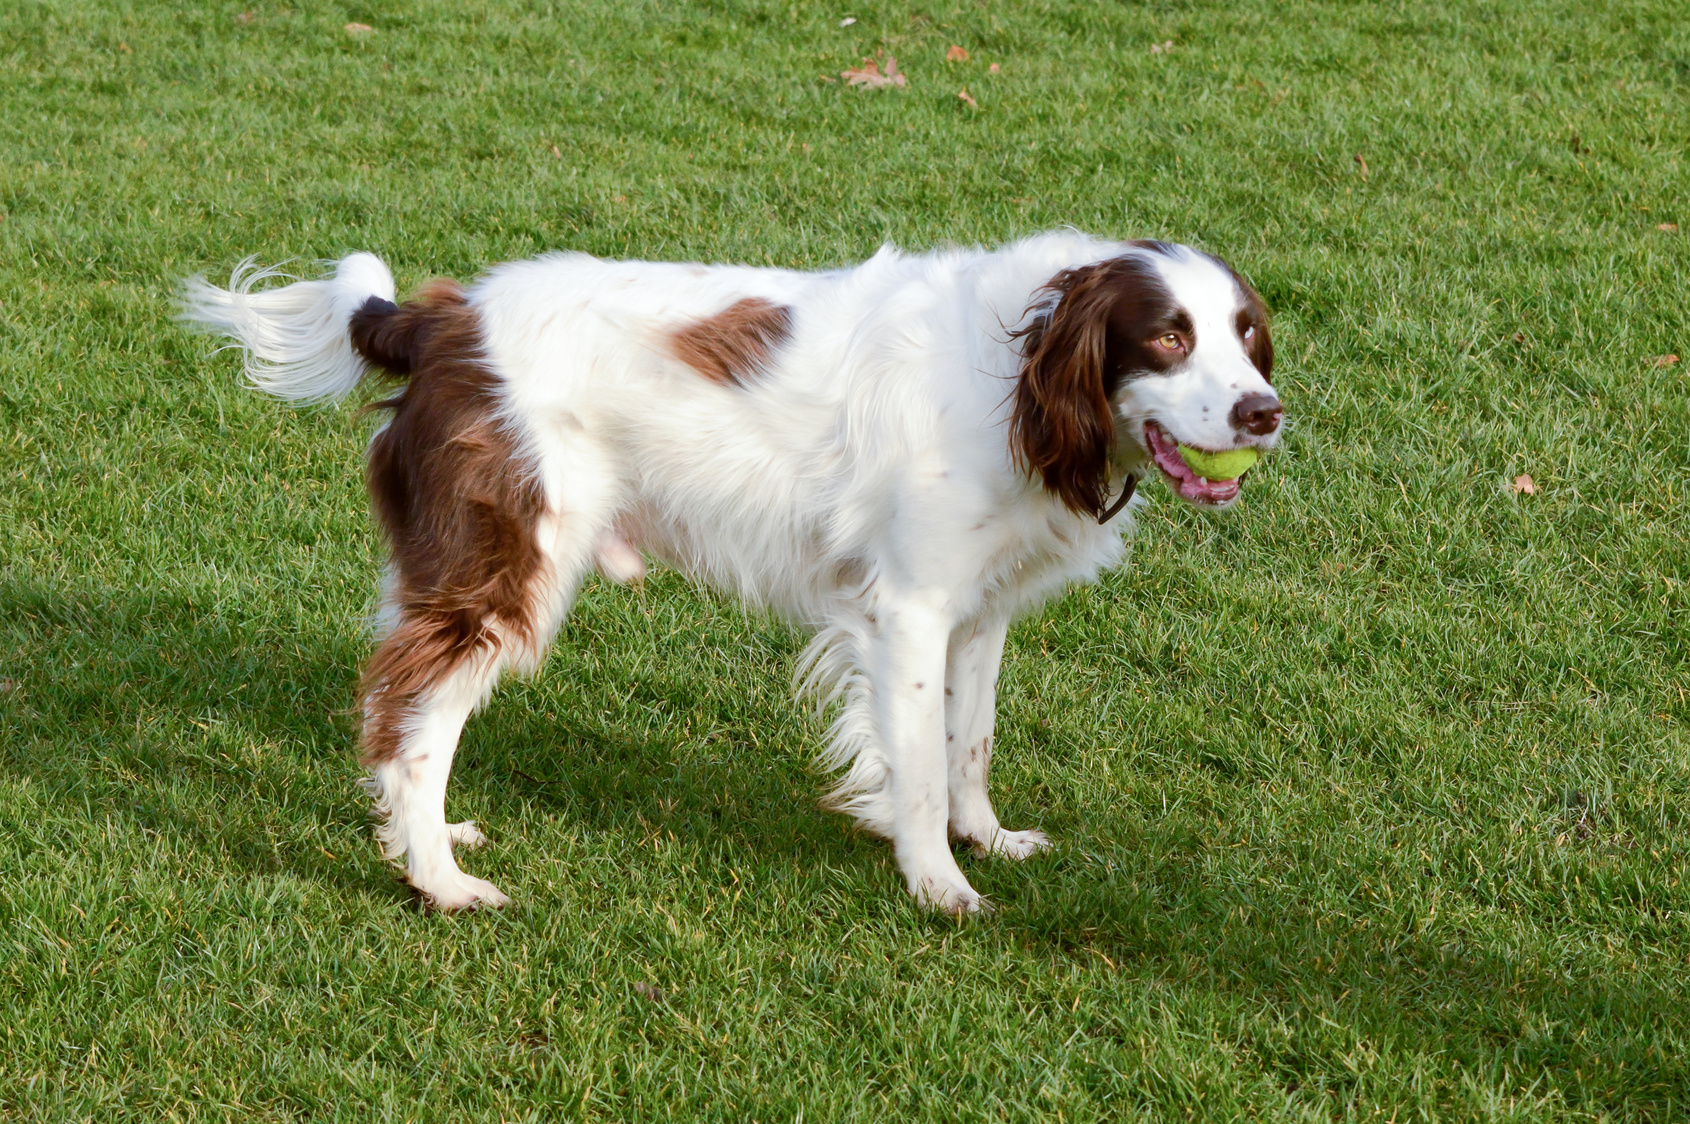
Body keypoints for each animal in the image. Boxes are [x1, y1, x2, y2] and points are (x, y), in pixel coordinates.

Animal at [185, 234, 1277, 912]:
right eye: (1167, 336)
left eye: (1248, 336)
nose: (1265, 411)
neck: (1017, 367)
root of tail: (437, 319)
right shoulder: (910, 609)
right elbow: (921, 767)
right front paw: (939, 884)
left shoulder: (979, 610)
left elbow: (970, 741)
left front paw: (986, 838)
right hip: (509, 571)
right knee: (416, 715)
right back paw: (437, 880)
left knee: (394, 700)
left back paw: (422, 843)